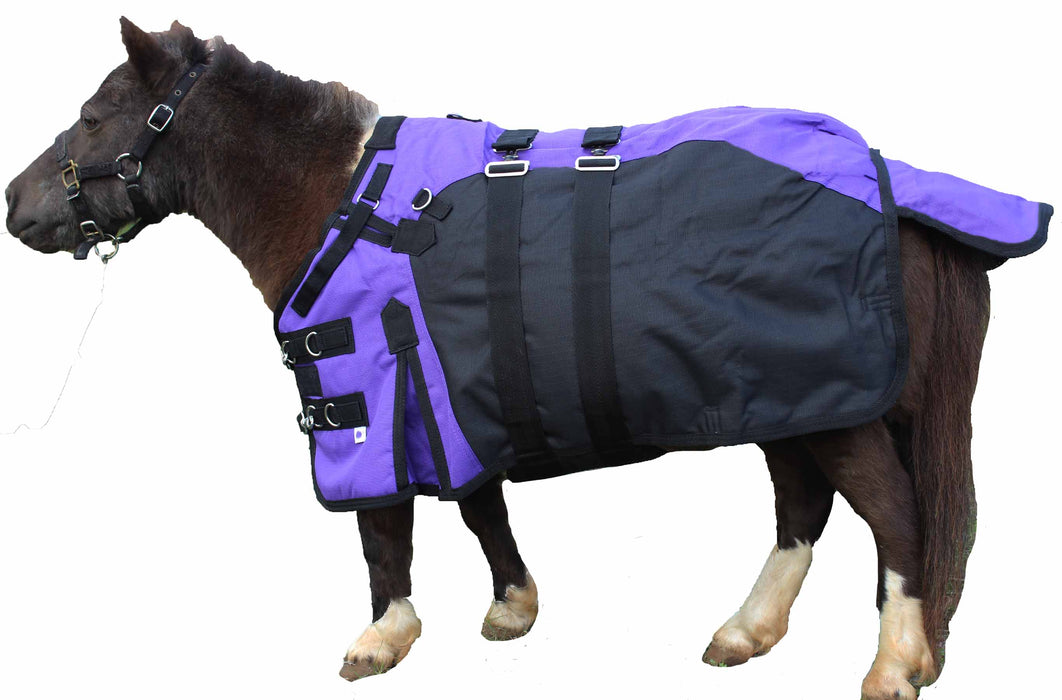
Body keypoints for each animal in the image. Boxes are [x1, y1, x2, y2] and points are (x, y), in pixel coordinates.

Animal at [3, 18, 1049, 700]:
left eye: (94, 117)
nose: (18, 206)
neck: (338, 198)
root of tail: (892, 181)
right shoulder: (447, 389)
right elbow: (479, 507)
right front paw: (512, 608)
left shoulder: (368, 396)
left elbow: (384, 529)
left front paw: (383, 639)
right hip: (783, 400)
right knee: (803, 513)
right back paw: (747, 630)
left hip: (836, 407)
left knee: (897, 521)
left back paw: (894, 663)